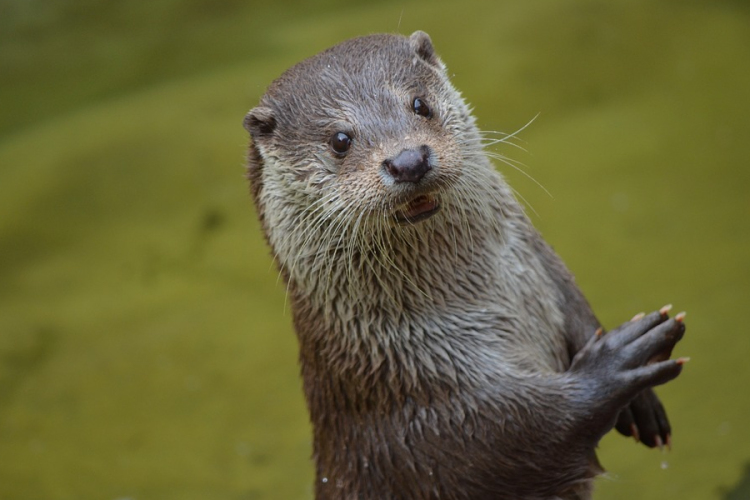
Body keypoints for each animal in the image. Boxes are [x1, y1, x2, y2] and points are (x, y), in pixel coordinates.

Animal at [244, 32, 692, 500]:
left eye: (420, 104)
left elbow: (577, 306)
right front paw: (618, 363)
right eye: (340, 139)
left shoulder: (545, 270)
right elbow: (519, 434)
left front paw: (641, 401)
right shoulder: (426, 420)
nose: (408, 160)